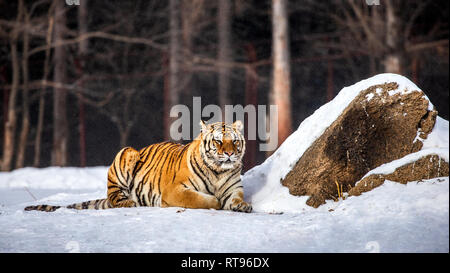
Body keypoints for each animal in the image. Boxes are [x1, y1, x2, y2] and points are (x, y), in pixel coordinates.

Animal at [24, 120, 251, 212]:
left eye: (234, 141)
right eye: (218, 141)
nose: (229, 154)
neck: (218, 172)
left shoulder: (233, 188)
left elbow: (236, 198)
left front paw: (243, 206)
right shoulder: (175, 190)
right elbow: (202, 199)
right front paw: (215, 202)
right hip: (126, 153)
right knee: (114, 198)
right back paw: (129, 202)